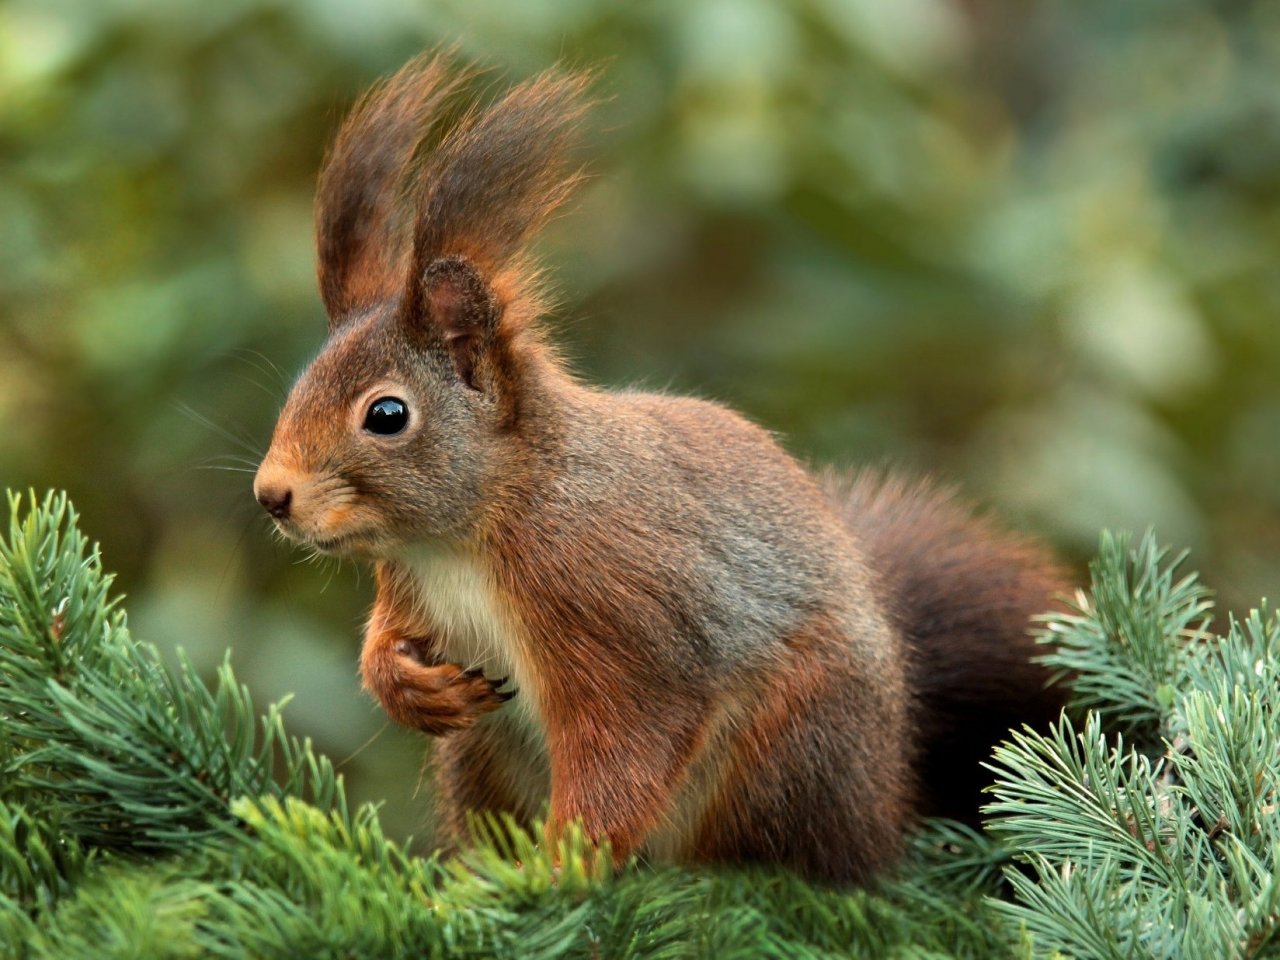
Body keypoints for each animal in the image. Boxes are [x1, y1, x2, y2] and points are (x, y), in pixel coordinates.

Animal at [252, 56, 1070, 885]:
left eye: (387, 415)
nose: (271, 495)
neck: (468, 535)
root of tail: (885, 798)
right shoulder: (409, 585)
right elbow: (384, 641)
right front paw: (407, 686)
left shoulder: (611, 608)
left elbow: (626, 746)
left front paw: (559, 871)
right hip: (482, 754)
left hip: (791, 743)